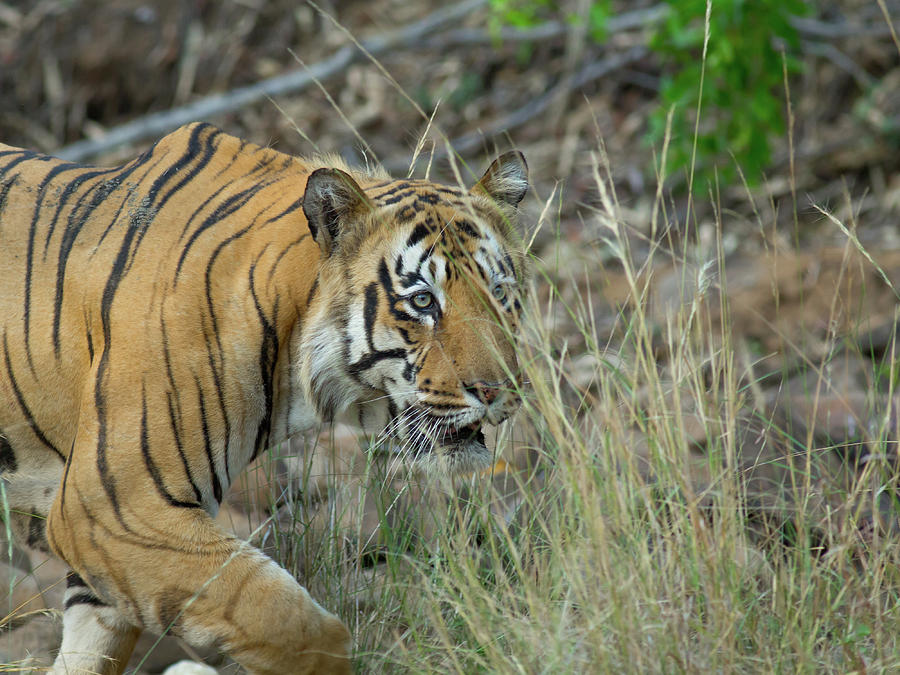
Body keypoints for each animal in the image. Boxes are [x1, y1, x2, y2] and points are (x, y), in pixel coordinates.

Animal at [0, 123, 528, 675]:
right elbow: (295, 626)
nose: (498, 389)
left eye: (499, 292)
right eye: (423, 301)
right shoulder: (110, 506)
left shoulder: (109, 545)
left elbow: (89, 650)